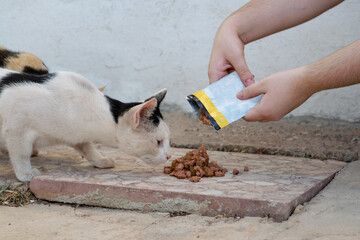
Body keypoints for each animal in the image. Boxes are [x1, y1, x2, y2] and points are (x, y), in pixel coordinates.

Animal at [0, 68, 172, 181]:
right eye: (158, 142)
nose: (170, 156)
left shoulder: (76, 136)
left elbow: (89, 149)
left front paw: (101, 160)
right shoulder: (18, 127)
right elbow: (21, 154)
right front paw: (25, 174)